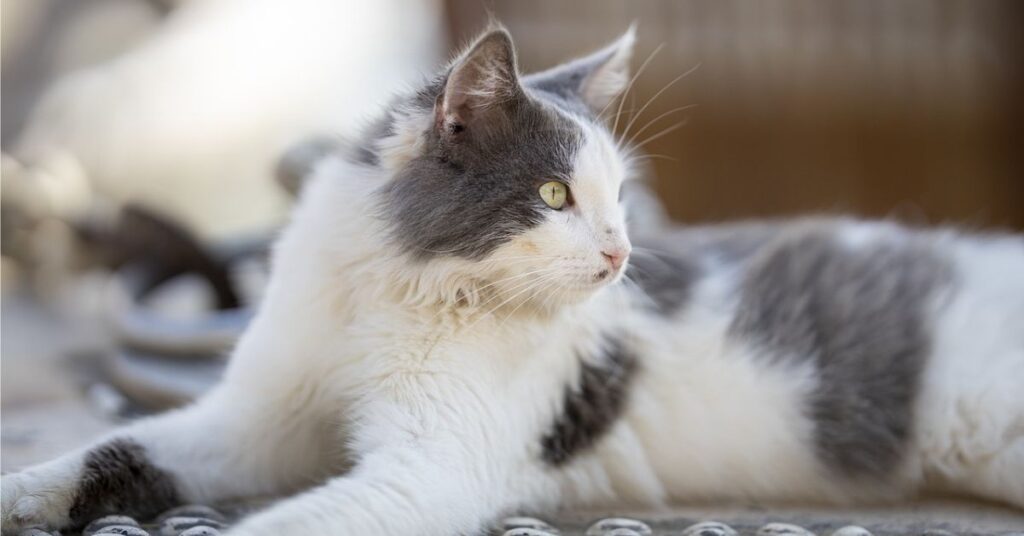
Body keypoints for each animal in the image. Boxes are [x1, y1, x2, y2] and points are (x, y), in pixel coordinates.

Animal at [2, 23, 1024, 532]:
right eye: (555, 193)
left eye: (621, 198)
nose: (619, 256)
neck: (388, 291)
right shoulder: (254, 419)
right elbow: (114, 450)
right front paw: (22, 495)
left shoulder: (430, 471)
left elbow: (286, 526)